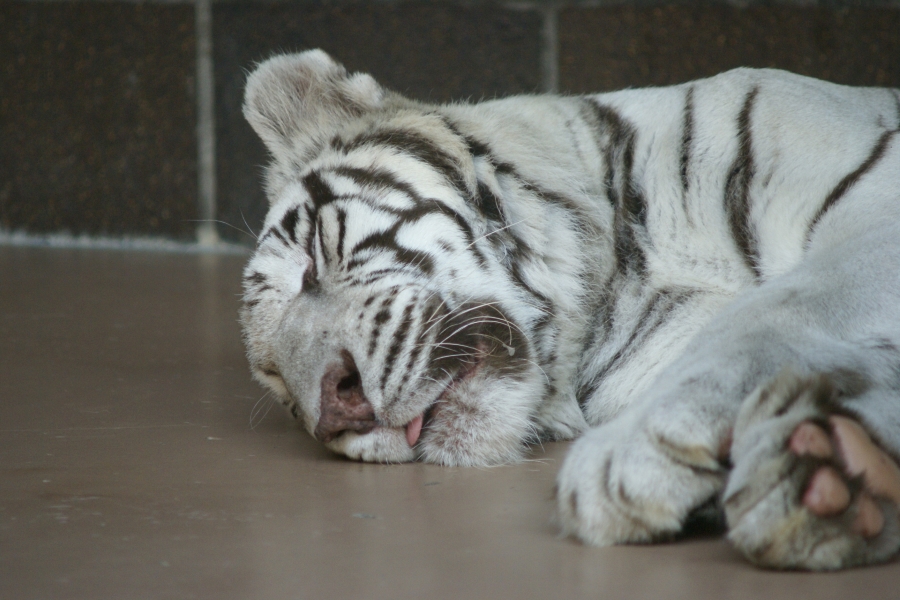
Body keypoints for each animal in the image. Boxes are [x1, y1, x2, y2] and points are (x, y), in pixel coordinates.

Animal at [239, 49, 900, 570]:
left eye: (311, 262)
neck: (618, 277)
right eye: (280, 388)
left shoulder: (874, 210)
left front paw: (630, 453)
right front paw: (833, 478)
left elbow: (769, 310)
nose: (334, 412)